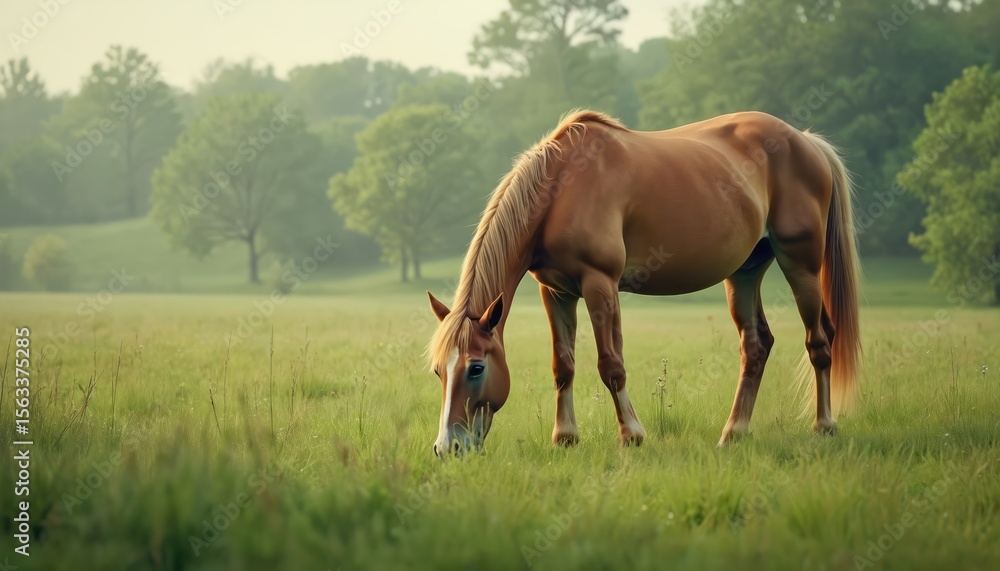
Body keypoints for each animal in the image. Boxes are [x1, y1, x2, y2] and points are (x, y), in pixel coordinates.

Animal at [426, 109, 861, 456]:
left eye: (476, 368)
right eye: (438, 371)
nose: (448, 448)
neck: (561, 188)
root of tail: (806, 141)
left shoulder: (599, 284)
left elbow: (611, 365)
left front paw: (631, 435)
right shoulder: (556, 292)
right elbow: (563, 366)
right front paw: (565, 437)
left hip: (800, 266)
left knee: (819, 342)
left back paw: (824, 426)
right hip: (745, 272)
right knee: (756, 348)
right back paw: (733, 434)